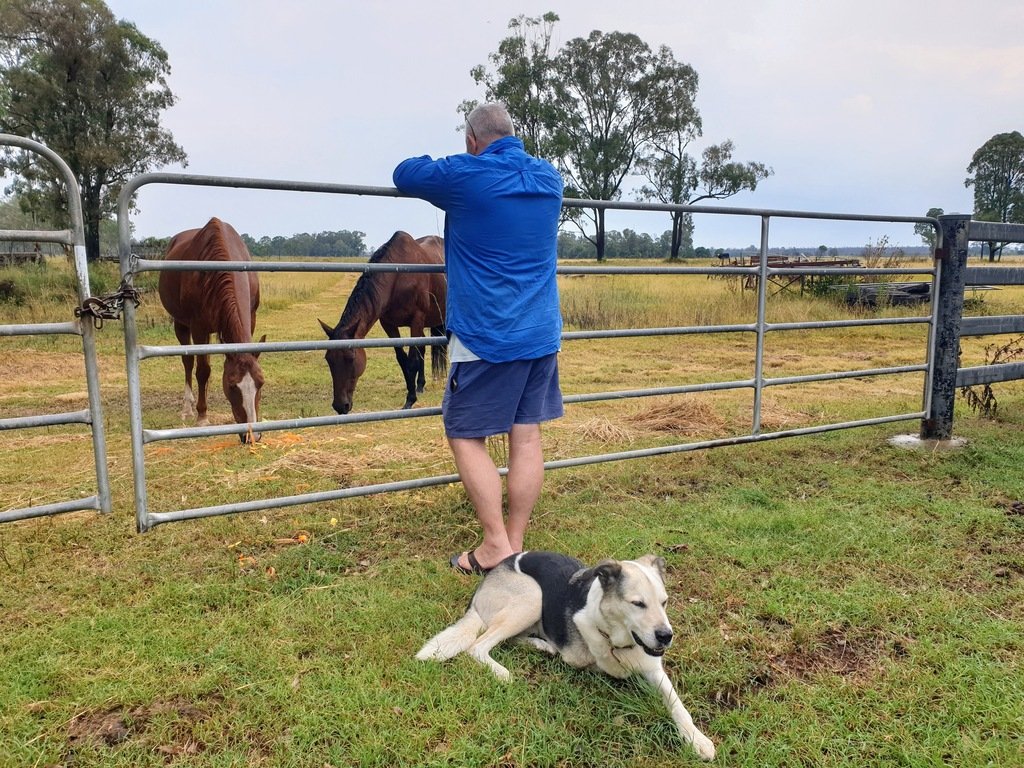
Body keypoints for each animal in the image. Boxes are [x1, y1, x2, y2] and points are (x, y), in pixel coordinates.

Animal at [156, 218, 266, 444]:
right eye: (232, 386)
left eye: (260, 383)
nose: (252, 436)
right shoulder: (199, 327)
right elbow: (202, 371)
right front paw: (202, 416)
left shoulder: (251, 317)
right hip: (181, 324)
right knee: (188, 362)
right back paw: (188, 408)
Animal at [319, 231, 448, 415]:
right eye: (328, 359)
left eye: (351, 358)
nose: (340, 406)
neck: (399, 277)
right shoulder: (389, 325)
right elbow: (402, 359)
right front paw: (412, 392)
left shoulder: (416, 320)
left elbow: (412, 361)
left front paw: (410, 400)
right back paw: (420, 385)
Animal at [415, 548, 720, 761]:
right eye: (638, 604)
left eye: (664, 602)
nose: (666, 636)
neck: (616, 635)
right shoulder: (587, 656)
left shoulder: (654, 668)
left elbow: (678, 705)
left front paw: (696, 739)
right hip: (531, 597)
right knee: (478, 646)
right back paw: (502, 671)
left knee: (510, 639)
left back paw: (542, 645)